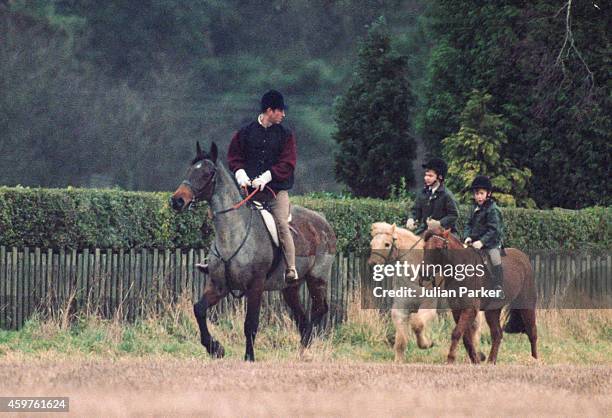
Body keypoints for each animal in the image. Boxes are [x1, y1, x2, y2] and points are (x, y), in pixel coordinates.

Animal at [170, 142, 338, 360]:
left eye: (207, 173)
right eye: (190, 170)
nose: (177, 201)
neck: (234, 234)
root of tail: (323, 221)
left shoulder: (255, 287)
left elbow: (250, 324)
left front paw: (249, 357)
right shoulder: (218, 286)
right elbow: (199, 309)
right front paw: (215, 348)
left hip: (317, 279)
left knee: (319, 309)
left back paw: (304, 349)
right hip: (290, 288)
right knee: (301, 317)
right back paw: (301, 349)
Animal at [368, 222, 482, 362]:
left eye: (387, 244)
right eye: (372, 244)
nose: (373, 264)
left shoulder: (428, 306)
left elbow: (417, 324)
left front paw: (427, 343)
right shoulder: (400, 308)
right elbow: (401, 339)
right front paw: (399, 360)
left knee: (475, 328)